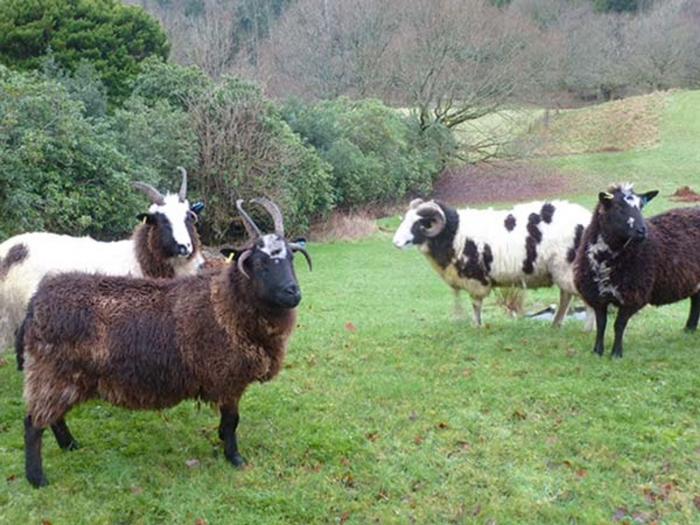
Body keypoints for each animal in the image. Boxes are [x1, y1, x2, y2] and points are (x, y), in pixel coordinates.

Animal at [15, 198, 312, 488]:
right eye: (259, 264)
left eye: (291, 258)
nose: (293, 292)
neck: (226, 304)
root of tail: (35, 301)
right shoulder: (227, 377)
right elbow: (232, 422)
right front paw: (235, 458)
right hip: (51, 371)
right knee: (32, 424)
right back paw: (37, 478)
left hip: (60, 375)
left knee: (53, 417)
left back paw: (70, 445)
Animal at [392, 198, 592, 328]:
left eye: (420, 223)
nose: (395, 243)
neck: (454, 233)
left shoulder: (475, 279)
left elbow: (476, 305)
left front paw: (477, 326)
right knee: (566, 297)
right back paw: (556, 324)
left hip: (568, 268)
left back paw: (587, 329)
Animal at [576, 182, 700, 358]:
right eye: (618, 207)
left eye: (641, 206)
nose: (642, 230)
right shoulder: (597, 295)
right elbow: (601, 324)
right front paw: (597, 352)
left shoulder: (633, 296)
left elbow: (618, 325)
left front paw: (616, 354)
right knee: (696, 298)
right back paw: (689, 329)